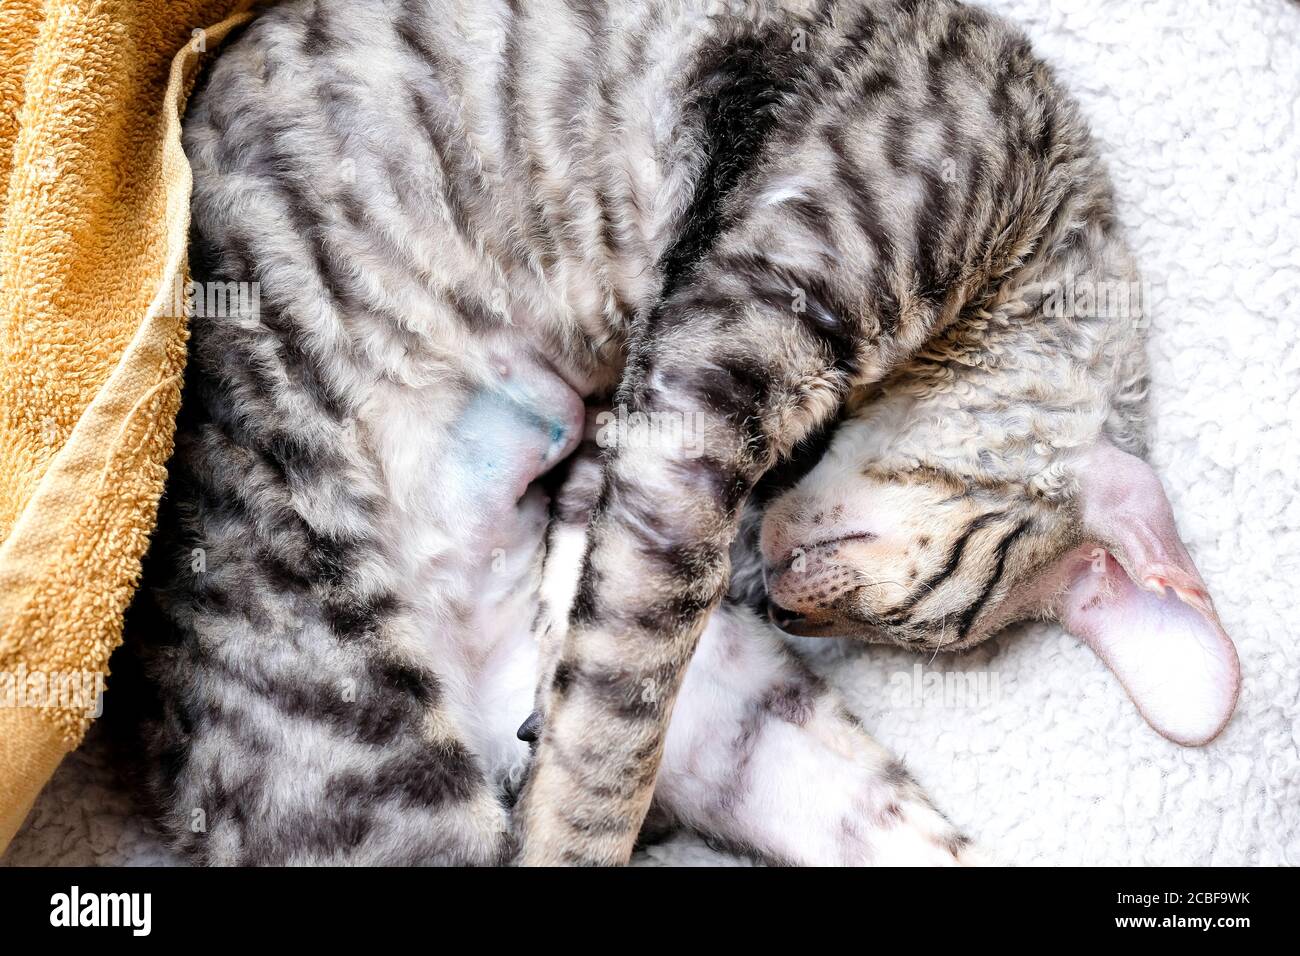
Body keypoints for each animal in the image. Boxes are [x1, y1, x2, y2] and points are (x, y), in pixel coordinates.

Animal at [122, 0, 1237, 868]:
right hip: (368, 723)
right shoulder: (718, 355)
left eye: (887, 628)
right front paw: (573, 820)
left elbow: (609, 606)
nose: (782, 607)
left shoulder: (653, 422)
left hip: (739, 724)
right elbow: (618, 706)